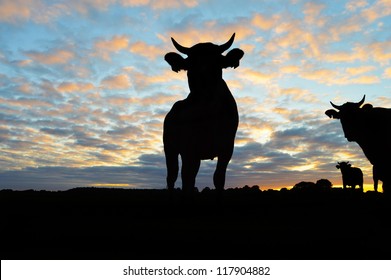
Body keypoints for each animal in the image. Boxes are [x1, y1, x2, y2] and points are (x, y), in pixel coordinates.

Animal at [163, 34, 243, 194]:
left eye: (217, 62)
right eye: (191, 64)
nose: (203, 76)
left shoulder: (227, 147)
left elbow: (218, 177)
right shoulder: (188, 148)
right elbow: (186, 178)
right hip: (170, 148)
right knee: (172, 175)